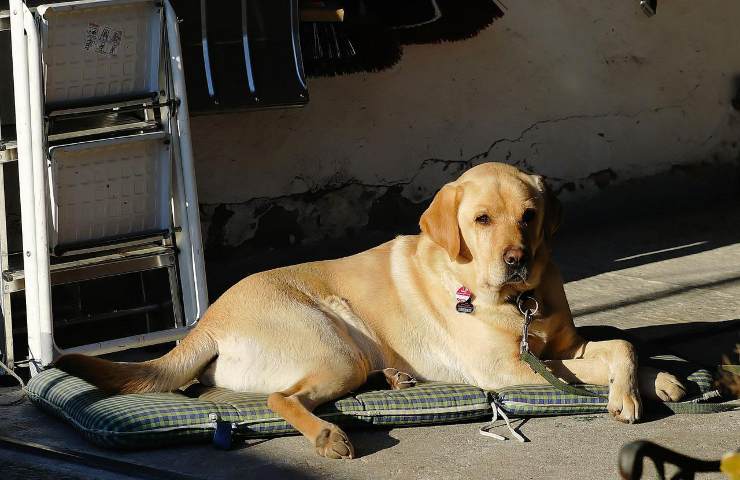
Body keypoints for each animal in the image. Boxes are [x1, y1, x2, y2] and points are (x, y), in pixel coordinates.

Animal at [55, 163, 684, 460]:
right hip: (335, 343)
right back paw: (329, 436)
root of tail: (206, 322)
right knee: (281, 397)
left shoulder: (560, 345)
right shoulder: (511, 369)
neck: (521, 299)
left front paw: (661, 380)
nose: (517, 260)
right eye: (481, 220)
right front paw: (627, 395)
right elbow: (610, 355)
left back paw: (397, 378)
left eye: (529, 216)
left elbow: (624, 343)